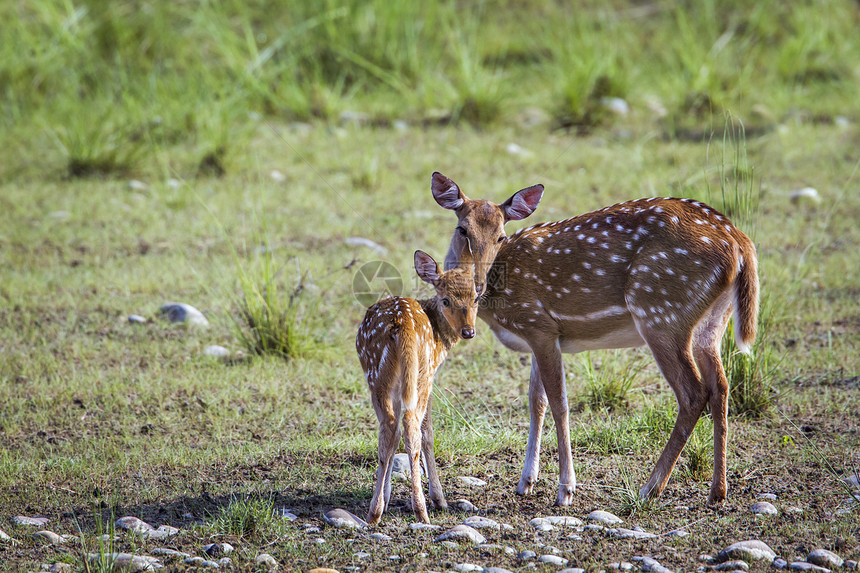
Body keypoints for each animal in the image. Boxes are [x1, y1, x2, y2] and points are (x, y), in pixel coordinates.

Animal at [354, 250, 478, 524]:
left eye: (476, 297)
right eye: (446, 300)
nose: (468, 331)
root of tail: (403, 326)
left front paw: (388, 495)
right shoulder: (431, 375)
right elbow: (428, 432)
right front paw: (440, 499)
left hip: (380, 376)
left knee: (391, 426)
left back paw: (377, 511)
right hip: (416, 374)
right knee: (409, 425)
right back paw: (419, 510)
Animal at [434, 171, 756, 504]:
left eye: (500, 236)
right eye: (462, 229)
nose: (477, 285)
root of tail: (740, 243)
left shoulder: (539, 325)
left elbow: (559, 403)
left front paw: (565, 490)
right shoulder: (540, 334)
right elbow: (536, 401)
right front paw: (526, 482)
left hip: (661, 313)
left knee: (693, 393)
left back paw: (650, 488)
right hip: (711, 323)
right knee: (721, 385)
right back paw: (717, 491)